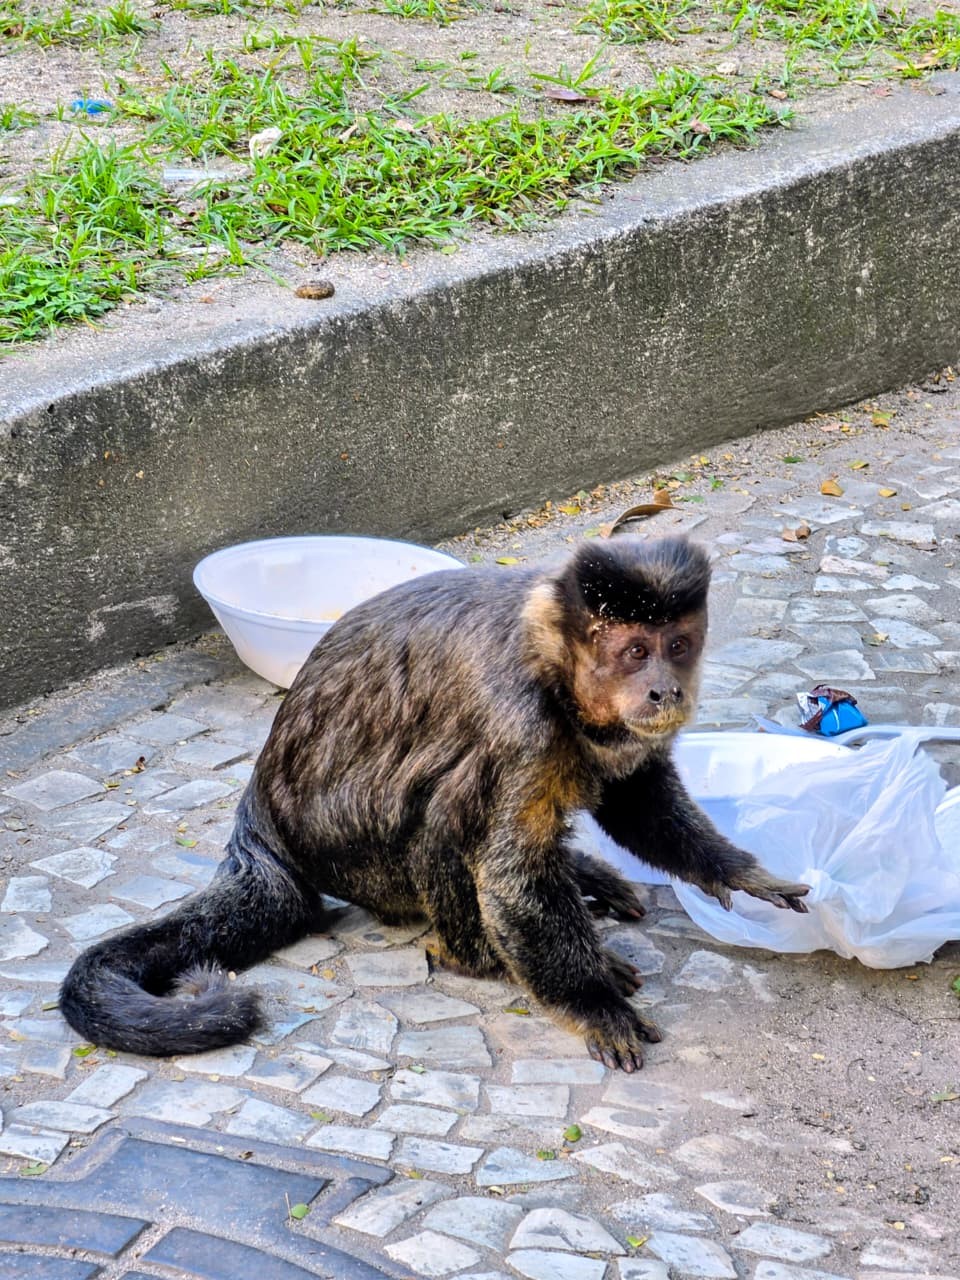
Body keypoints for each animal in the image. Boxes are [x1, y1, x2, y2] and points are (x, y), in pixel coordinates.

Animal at [60, 535, 809, 1071]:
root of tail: (261, 817)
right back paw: (478, 958)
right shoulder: (520, 721)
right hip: (357, 862)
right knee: (447, 807)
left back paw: (579, 879)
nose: (664, 689)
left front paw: (738, 871)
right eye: (633, 651)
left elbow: (635, 800)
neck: (554, 669)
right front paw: (591, 998)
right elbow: (508, 876)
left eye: (676, 646)